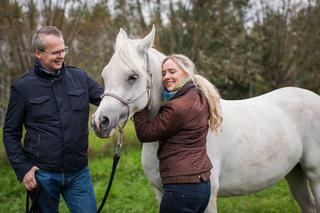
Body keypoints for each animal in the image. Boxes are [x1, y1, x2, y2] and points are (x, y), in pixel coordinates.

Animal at [91, 25, 320, 212]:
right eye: (105, 75)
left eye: (133, 76)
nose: (100, 121)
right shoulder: (160, 192)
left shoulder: (208, 197)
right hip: (295, 172)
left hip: (315, 175)